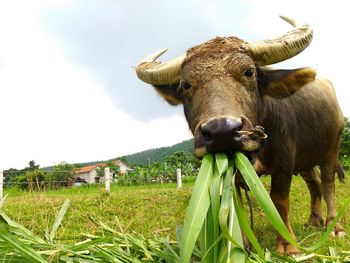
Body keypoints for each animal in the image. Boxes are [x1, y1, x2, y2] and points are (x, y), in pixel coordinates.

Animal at [135, 16, 344, 256]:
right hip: (305, 159)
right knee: (314, 183)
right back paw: (314, 220)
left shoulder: (284, 162)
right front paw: (239, 246)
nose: (221, 131)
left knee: (327, 183)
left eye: (249, 72)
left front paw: (287, 245)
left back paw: (334, 226)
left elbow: (279, 201)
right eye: (185, 85)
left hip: (332, 148)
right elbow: (236, 205)